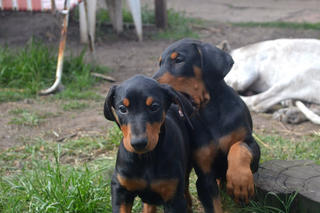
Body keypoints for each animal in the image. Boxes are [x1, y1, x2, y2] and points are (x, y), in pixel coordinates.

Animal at [104, 75, 195, 213]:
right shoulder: (120, 190)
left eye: (154, 107)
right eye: (122, 109)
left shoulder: (173, 199)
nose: (138, 143)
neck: (146, 157)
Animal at [154, 38, 262, 213]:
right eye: (160, 63)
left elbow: (239, 147)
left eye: (179, 60)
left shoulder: (251, 145)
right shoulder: (205, 178)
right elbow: (212, 204)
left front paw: (239, 181)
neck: (210, 114)